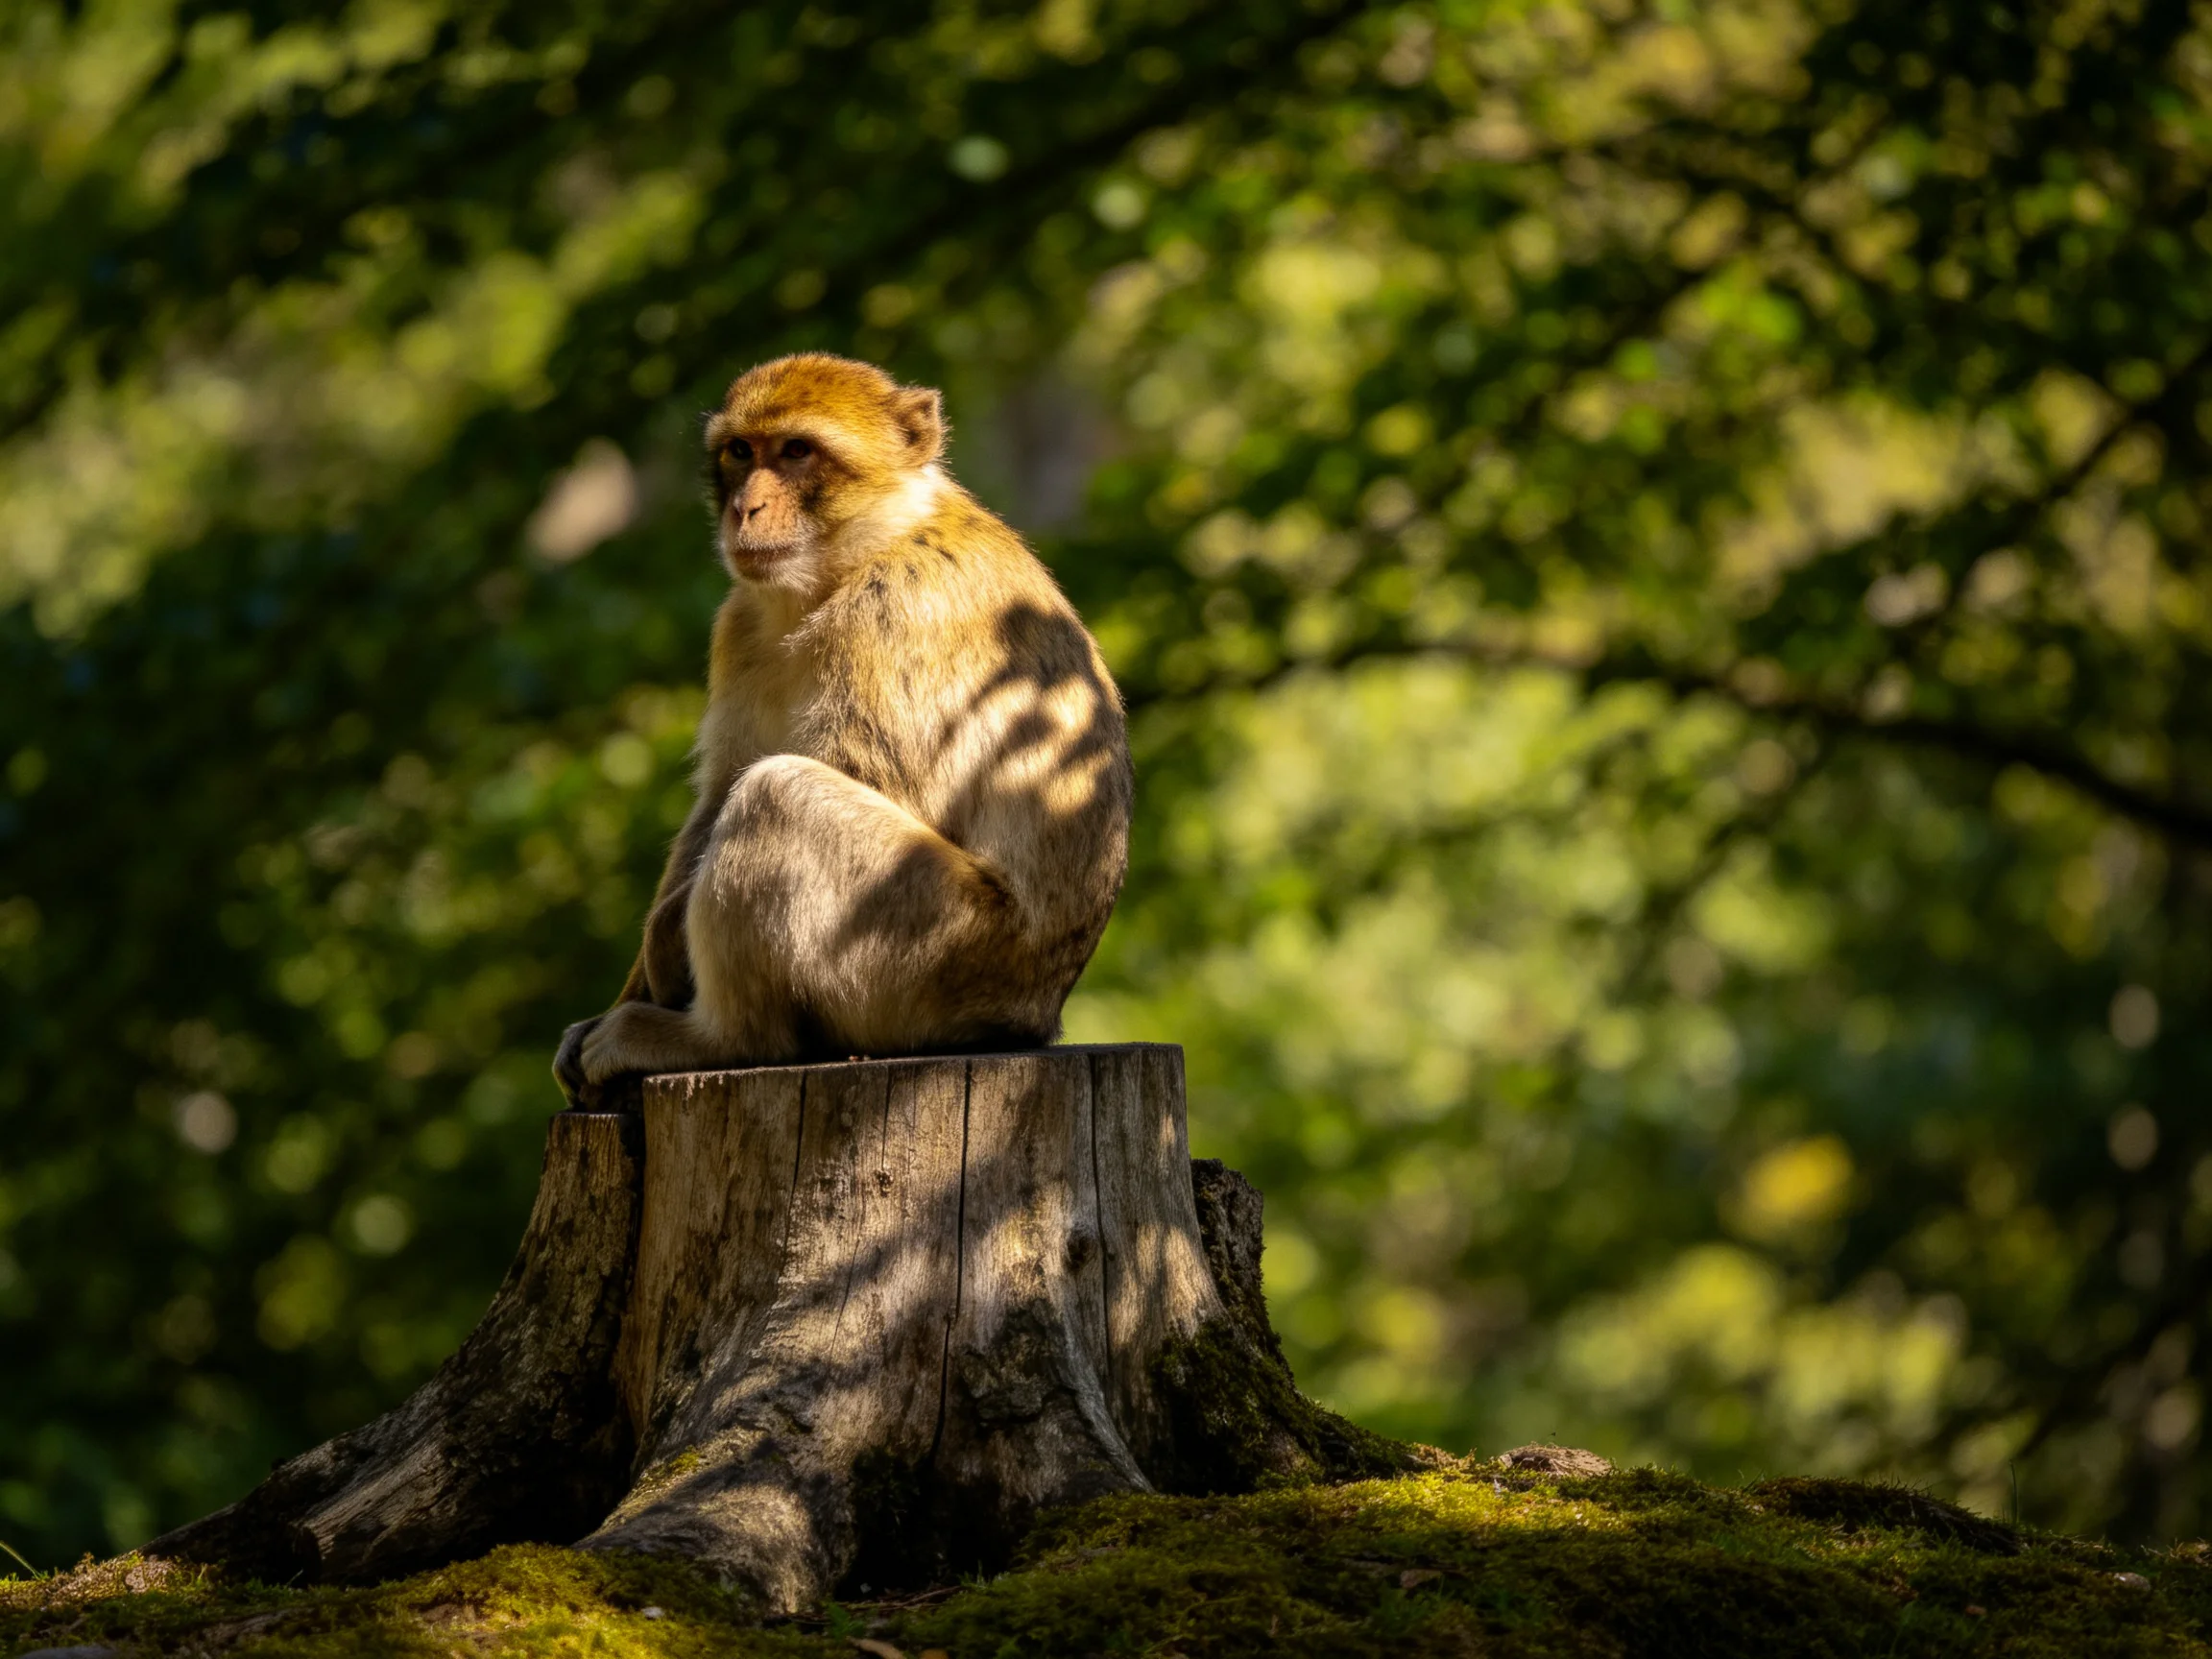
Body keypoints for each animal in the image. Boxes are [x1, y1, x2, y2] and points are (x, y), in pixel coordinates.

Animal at [553, 354, 1132, 1102]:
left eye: (797, 451)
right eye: (740, 453)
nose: (745, 508)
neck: (854, 558)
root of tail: (1037, 1015)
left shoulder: (895, 610)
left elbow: (869, 783)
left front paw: (664, 951)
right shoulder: (737, 624)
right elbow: (715, 796)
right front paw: (631, 982)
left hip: (933, 957)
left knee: (778, 795)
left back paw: (721, 1040)